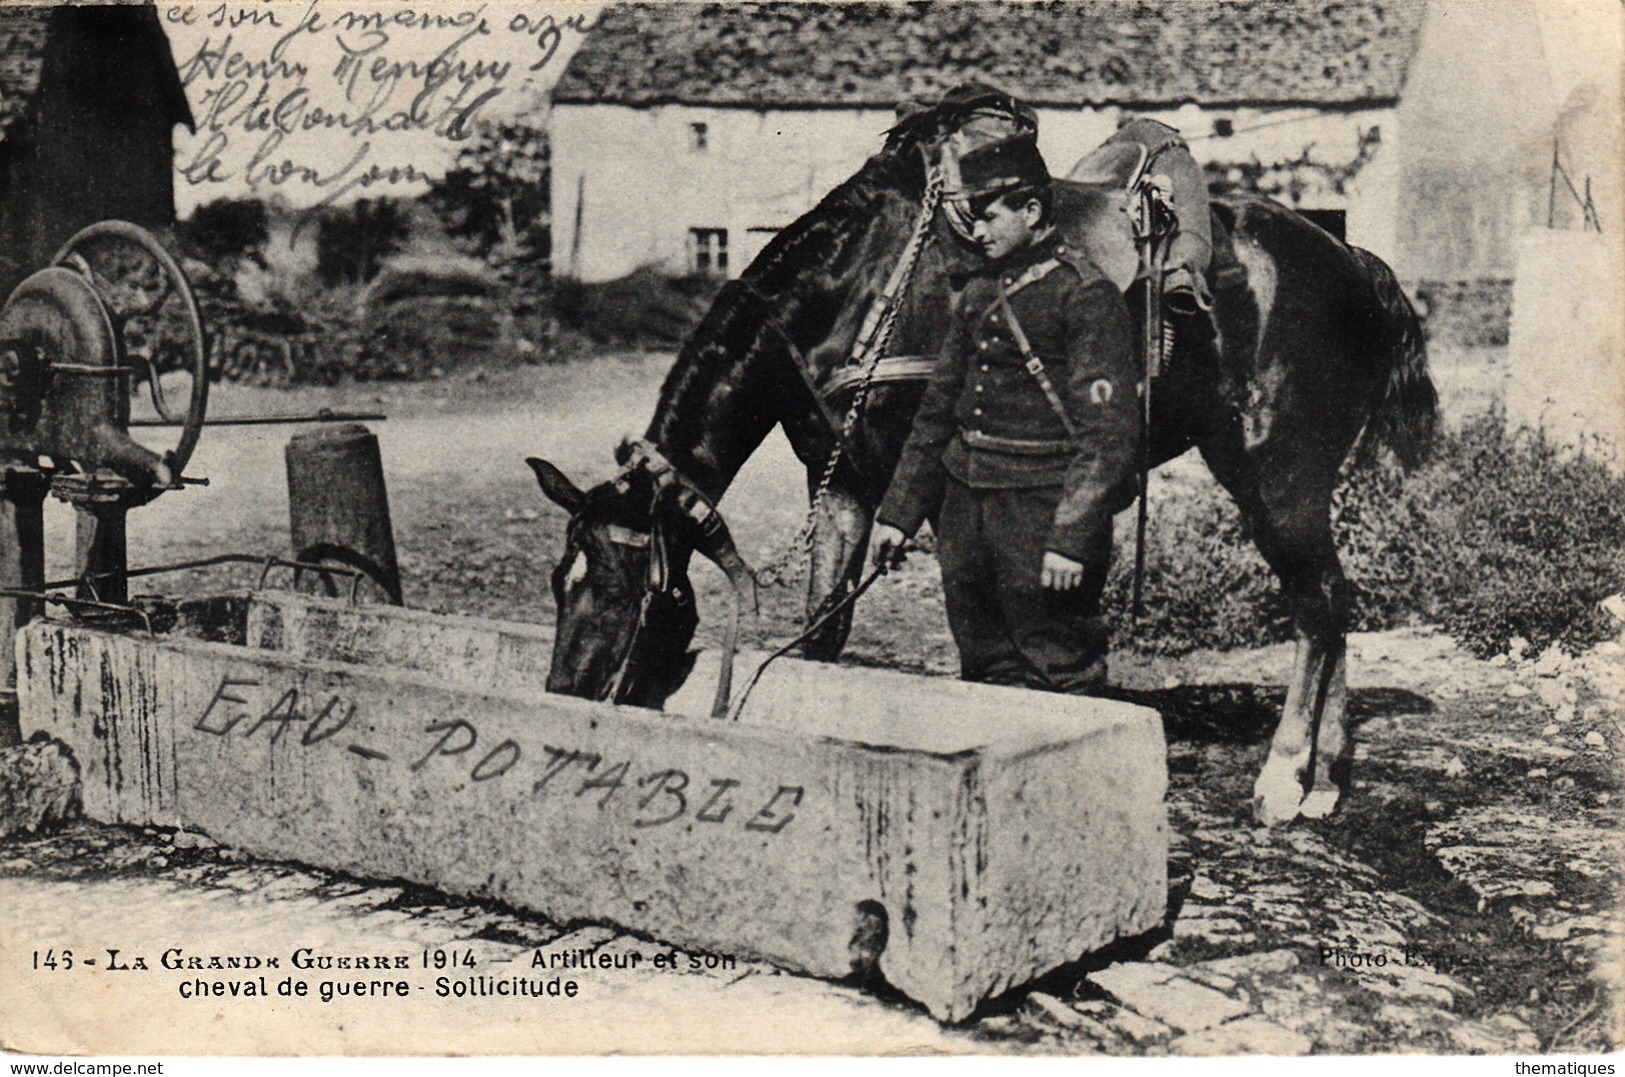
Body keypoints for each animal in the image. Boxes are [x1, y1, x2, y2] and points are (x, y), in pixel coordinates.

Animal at [533, 103, 1436, 825]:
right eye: (558, 579)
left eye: (627, 585)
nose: (562, 697)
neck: (862, 289)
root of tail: (1357, 265)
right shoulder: (843, 480)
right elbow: (824, 627)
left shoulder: (930, 483)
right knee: (1331, 603)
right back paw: (1326, 778)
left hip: (1273, 473)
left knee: (1316, 606)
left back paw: (1283, 781)